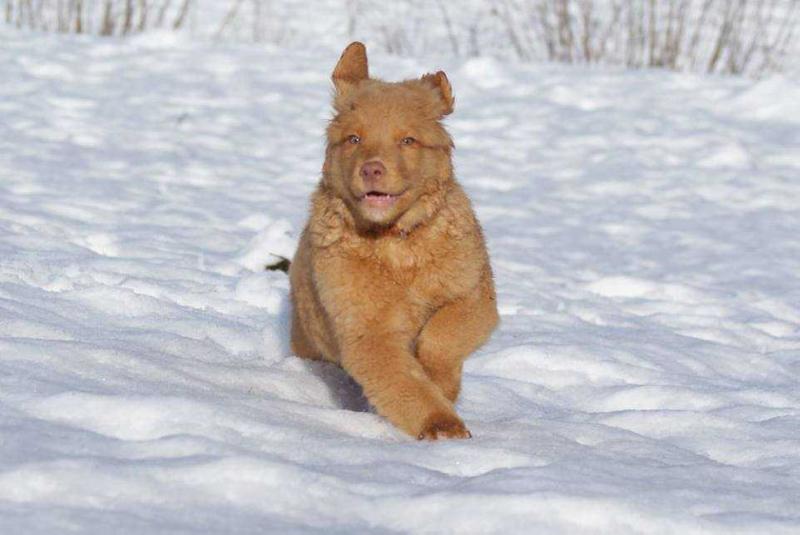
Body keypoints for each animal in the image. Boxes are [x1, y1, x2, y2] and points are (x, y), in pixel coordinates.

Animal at [290, 42, 496, 440]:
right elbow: (403, 383)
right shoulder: (366, 331)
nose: (372, 169)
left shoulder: (475, 296)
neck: (396, 245)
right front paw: (442, 426)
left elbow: (442, 336)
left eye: (408, 140)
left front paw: (440, 380)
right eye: (354, 139)